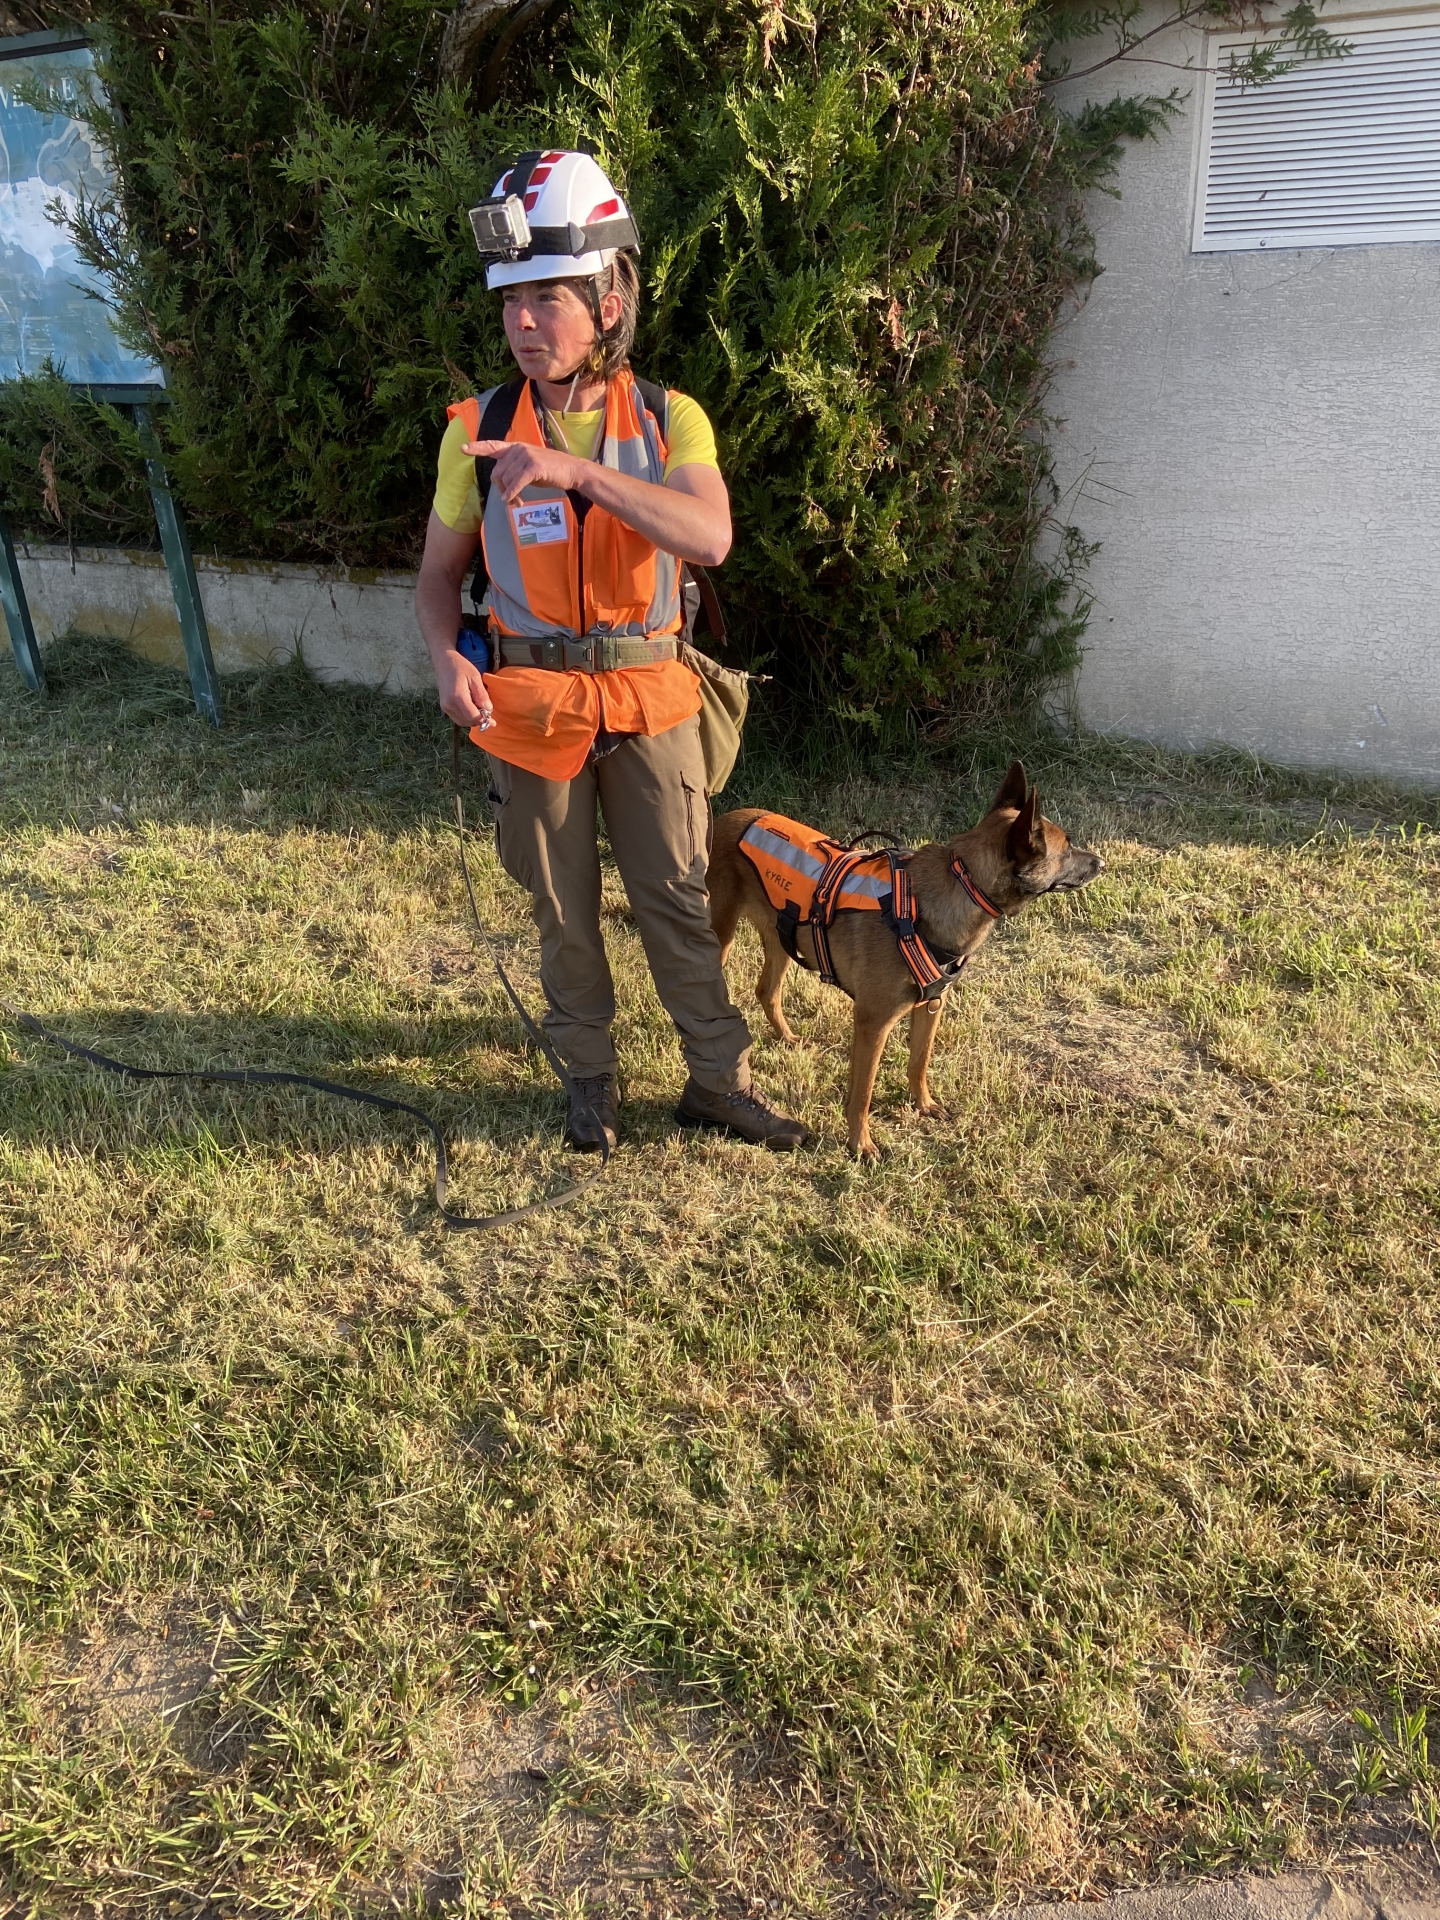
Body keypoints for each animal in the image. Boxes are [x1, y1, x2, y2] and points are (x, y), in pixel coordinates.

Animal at [710, 760, 1105, 1152]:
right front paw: (860, 1144)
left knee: (767, 991)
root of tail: (724, 818)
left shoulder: (931, 1006)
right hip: (721, 937)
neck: (962, 885)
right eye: (1068, 847)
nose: (1101, 862)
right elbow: (863, 1094)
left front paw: (923, 1104)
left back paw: (788, 1038)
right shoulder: (872, 1023)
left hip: (783, 937)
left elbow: (919, 1062)